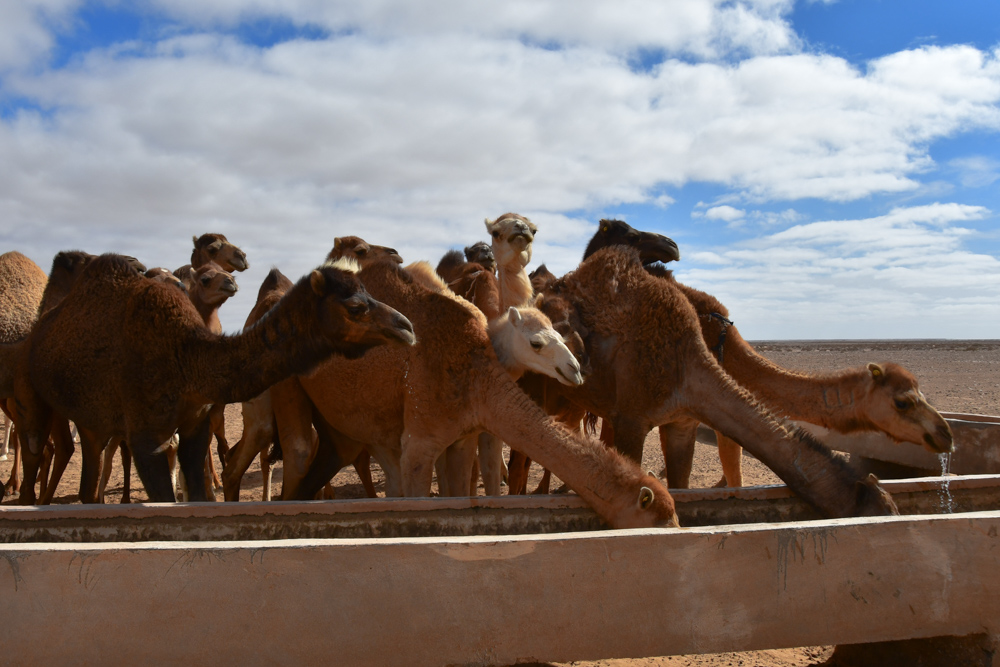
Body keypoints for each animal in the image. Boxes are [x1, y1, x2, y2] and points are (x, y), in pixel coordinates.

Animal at [15, 253, 414, 504]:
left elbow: (198, 492)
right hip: (63, 407)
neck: (186, 358)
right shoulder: (147, 436)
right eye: (356, 307)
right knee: (51, 452)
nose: (406, 327)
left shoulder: (196, 425)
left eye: (368, 293)